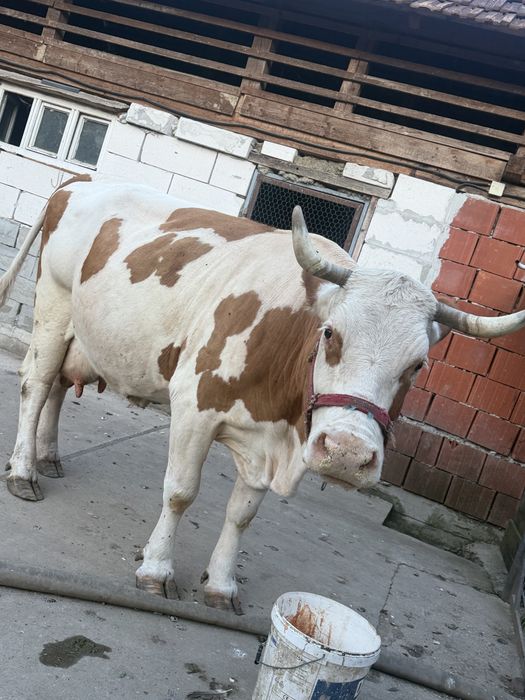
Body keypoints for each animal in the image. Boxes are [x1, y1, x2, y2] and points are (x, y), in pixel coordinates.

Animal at [1, 178, 523, 613]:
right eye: (330, 334)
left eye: (417, 366)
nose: (346, 454)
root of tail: (84, 180)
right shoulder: (194, 407)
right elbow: (180, 493)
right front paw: (156, 570)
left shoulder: (266, 440)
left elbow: (242, 515)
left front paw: (221, 586)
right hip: (53, 307)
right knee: (36, 385)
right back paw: (24, 472)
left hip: (84, 334)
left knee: (60, 387)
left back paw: (49, 457)